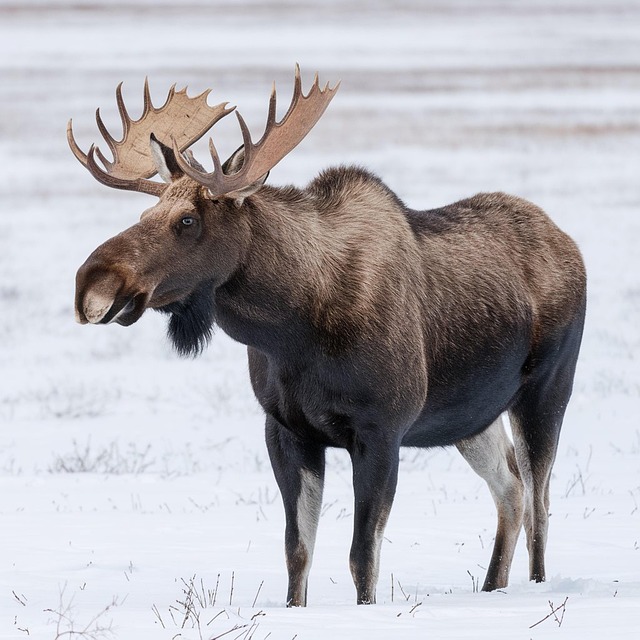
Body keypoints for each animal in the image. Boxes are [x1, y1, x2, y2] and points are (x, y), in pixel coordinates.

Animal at [68, 67, 586, 607]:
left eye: (187, 220)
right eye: (143, 217)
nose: (91, 283)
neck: (294, 331)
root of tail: (568, 242)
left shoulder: (381, 429)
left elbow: (363, 557)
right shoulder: (286, 429)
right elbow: (297, 551)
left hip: (547, 391)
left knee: (540, 504)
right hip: (471, 417)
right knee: (511, 488)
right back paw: (491, 587)